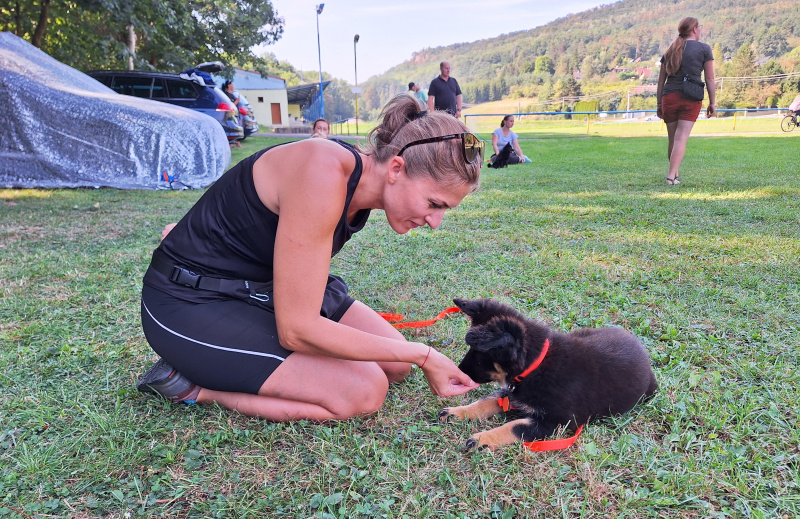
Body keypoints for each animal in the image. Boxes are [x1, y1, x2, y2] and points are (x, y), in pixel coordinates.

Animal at [440, 298, 660, 452]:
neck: (536, 365)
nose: (458, 374)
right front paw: (458, 412)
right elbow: (485, 402)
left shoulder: (556, 422)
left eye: (479, 355)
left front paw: (482, 439)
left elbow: (513, 426)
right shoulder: (512, 394)